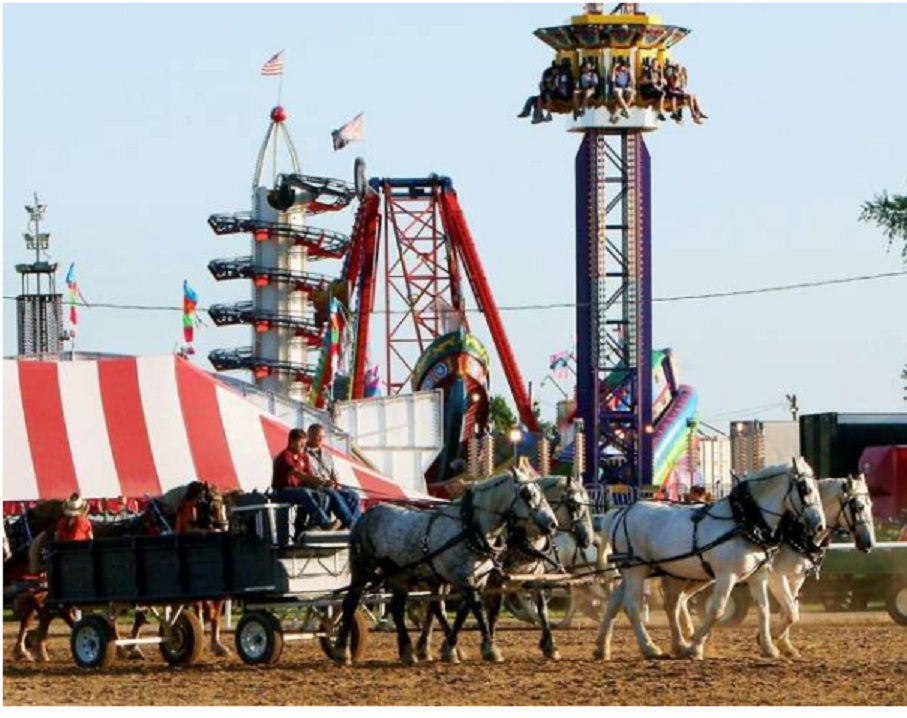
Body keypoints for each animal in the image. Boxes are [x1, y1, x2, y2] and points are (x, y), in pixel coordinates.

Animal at [334, 470, 560, 668]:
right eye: (528, 494)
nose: (552, 524)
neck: (470, 528)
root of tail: (367, 515)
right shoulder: (466, 579)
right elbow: (478, 610)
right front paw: (490, 649)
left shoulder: (478, 580)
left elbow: (464, 612)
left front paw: (451, 649)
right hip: (363, 570)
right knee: (350, 603)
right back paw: (342, 652)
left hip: (400, 575)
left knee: (398, 609)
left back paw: (408, 651)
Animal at [592, 462, 828, 664]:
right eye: (805, 489)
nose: (820, 526)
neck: (744, 520)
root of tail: (621, 511)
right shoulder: (727, 575)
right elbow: (717, 609)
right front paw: (696, 647)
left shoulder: (758, 575)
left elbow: (764, 609)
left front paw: (768, 647)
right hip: (636, 570)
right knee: (633, 605)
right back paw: (650, 648)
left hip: (641, 568)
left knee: (619, 601)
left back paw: (603, 648)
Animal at [672, 476, 876, 660]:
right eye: (858, 507)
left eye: (871, 505)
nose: (868, 543)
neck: (796, 530)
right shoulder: (776, 576)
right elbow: (791, 612)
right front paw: (772, 637)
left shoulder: (796, 578)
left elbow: (790, 610)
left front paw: (784, 646)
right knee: (677, 600)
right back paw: (687, 640)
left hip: (701, 575)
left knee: (681, 599)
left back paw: (689, 634)